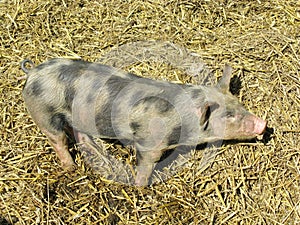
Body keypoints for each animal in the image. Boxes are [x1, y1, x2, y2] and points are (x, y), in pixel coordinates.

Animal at [20, 58, 268, 186]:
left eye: (240, 105)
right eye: (229, 116)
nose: (263, 124)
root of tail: (32, 73)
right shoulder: (150, 142)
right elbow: (146, 163)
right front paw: (141, 187)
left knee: (79, 133)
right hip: (44, 113)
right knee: (58, 139)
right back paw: (71, 167)